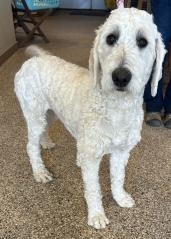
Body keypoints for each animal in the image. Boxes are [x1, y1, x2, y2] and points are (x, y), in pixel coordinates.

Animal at [14, 7, 166, 230]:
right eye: (111, 38)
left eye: (142, 41)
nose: (121, 77)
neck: (117, 108)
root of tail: (34, 60)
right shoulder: (92, 156)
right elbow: (93, 189)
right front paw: (96, 216)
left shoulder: (121, 152)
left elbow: (118, 178)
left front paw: (120, 198)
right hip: (34, 115)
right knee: (30, 146)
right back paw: (40, 172)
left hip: (50, 113)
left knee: (44, 132)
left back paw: (47, 143)